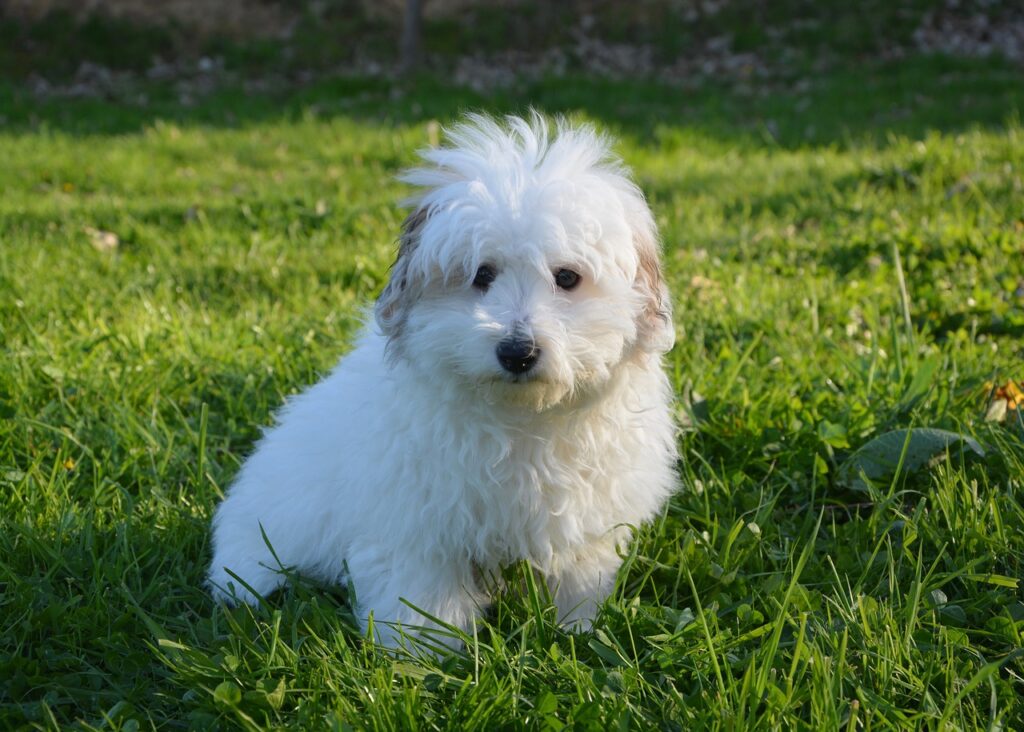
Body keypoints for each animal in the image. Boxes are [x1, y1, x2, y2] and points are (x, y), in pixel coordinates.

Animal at [205, 113, 679, 647]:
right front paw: (423, 652)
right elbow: (423, 591)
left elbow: (578, 575)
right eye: (481, 275)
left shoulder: (585, 519)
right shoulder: (415, 521)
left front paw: (575, 629)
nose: (517, 352)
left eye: (567, 278)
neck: (520, 417)